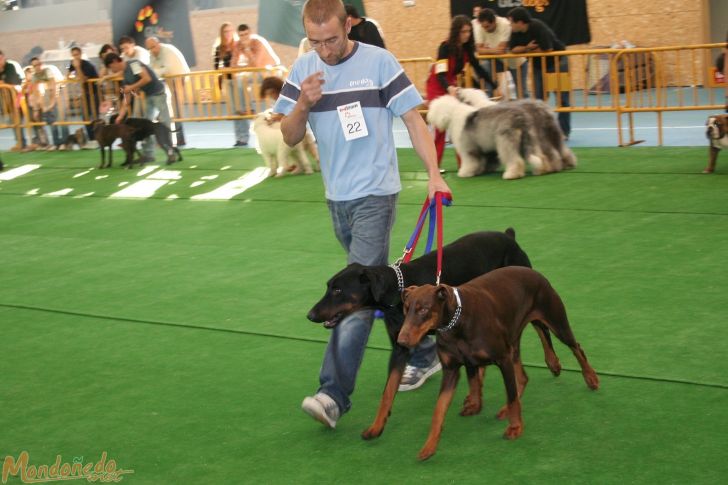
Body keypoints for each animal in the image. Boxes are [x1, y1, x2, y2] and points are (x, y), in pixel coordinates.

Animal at [308, 228, 564, 438]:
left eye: (338, 290)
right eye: (328, 286)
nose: (310, 314)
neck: (399, 289)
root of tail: (508, 235)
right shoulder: (400, 346)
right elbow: (388, 390)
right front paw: (377, 426)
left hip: (528, 291)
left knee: (542, 327)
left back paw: (553, 362)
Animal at [398, 266, 596, 460]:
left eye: (423, 309)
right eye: (406, 309)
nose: (401, 341)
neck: (456, 324)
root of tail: (535, 273)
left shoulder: (503, 359)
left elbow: (511, 395)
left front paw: (515, 427)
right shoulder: (453, 369)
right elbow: (440, 409)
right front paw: (429, 445)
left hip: (554, 320)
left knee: (574, 346)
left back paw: (590, 377)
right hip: (514, 338)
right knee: (524, 373)